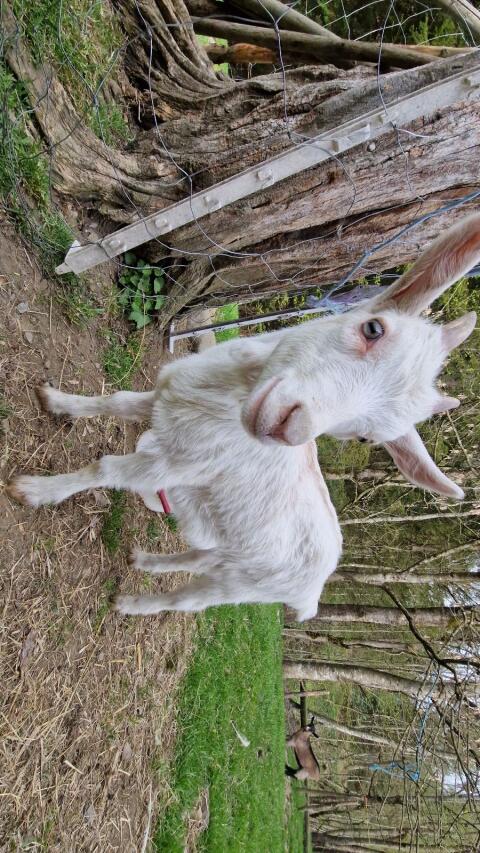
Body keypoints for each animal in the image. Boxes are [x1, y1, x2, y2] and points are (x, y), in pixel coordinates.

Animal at [6, 215, 479, 619]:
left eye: (365, 438)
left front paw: (33, 491)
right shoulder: (164, 399)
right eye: (373, 328)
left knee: (191, 599)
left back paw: (131, 604)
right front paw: (56, 401)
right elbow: (115, 403)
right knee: (200, 556)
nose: (285, 427)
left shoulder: (178, 463)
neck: (221, 399)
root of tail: (317, 589)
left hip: (243, 585)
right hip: (231, 551)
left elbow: (105, 469)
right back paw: (146, 560)